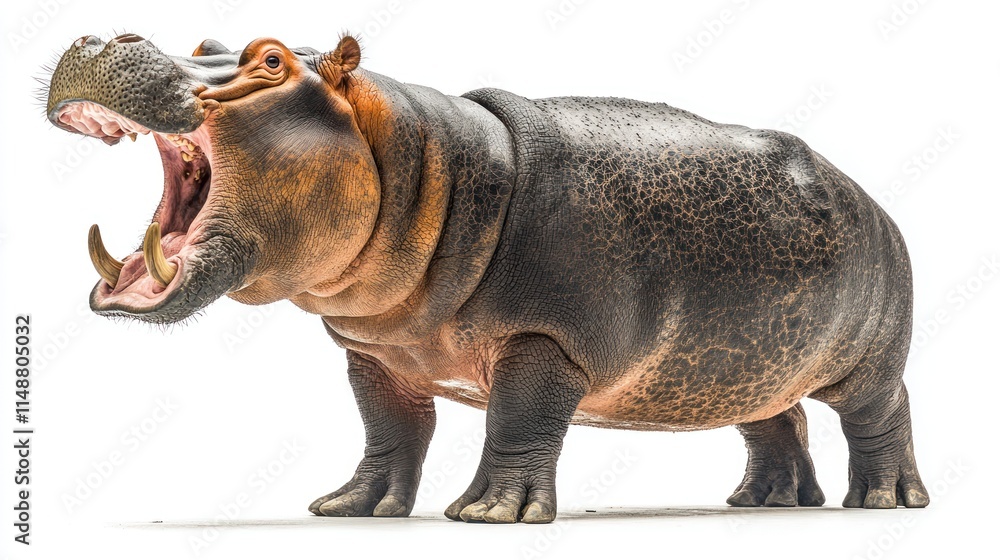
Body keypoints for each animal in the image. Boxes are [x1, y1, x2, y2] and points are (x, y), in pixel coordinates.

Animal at [45, 33, 928, 523]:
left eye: (269, 58)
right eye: (204, 43)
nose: (101, 36)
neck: (421, 171)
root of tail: (879, 206)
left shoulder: (547, 341)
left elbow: (518, 421)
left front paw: (489, 514)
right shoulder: (377, 355)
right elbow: (388, 430)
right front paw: (351, 509)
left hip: (866, 364)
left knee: (880, 415)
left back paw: (883, 501)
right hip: (744, 364)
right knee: (774, 420)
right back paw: (764, 502)